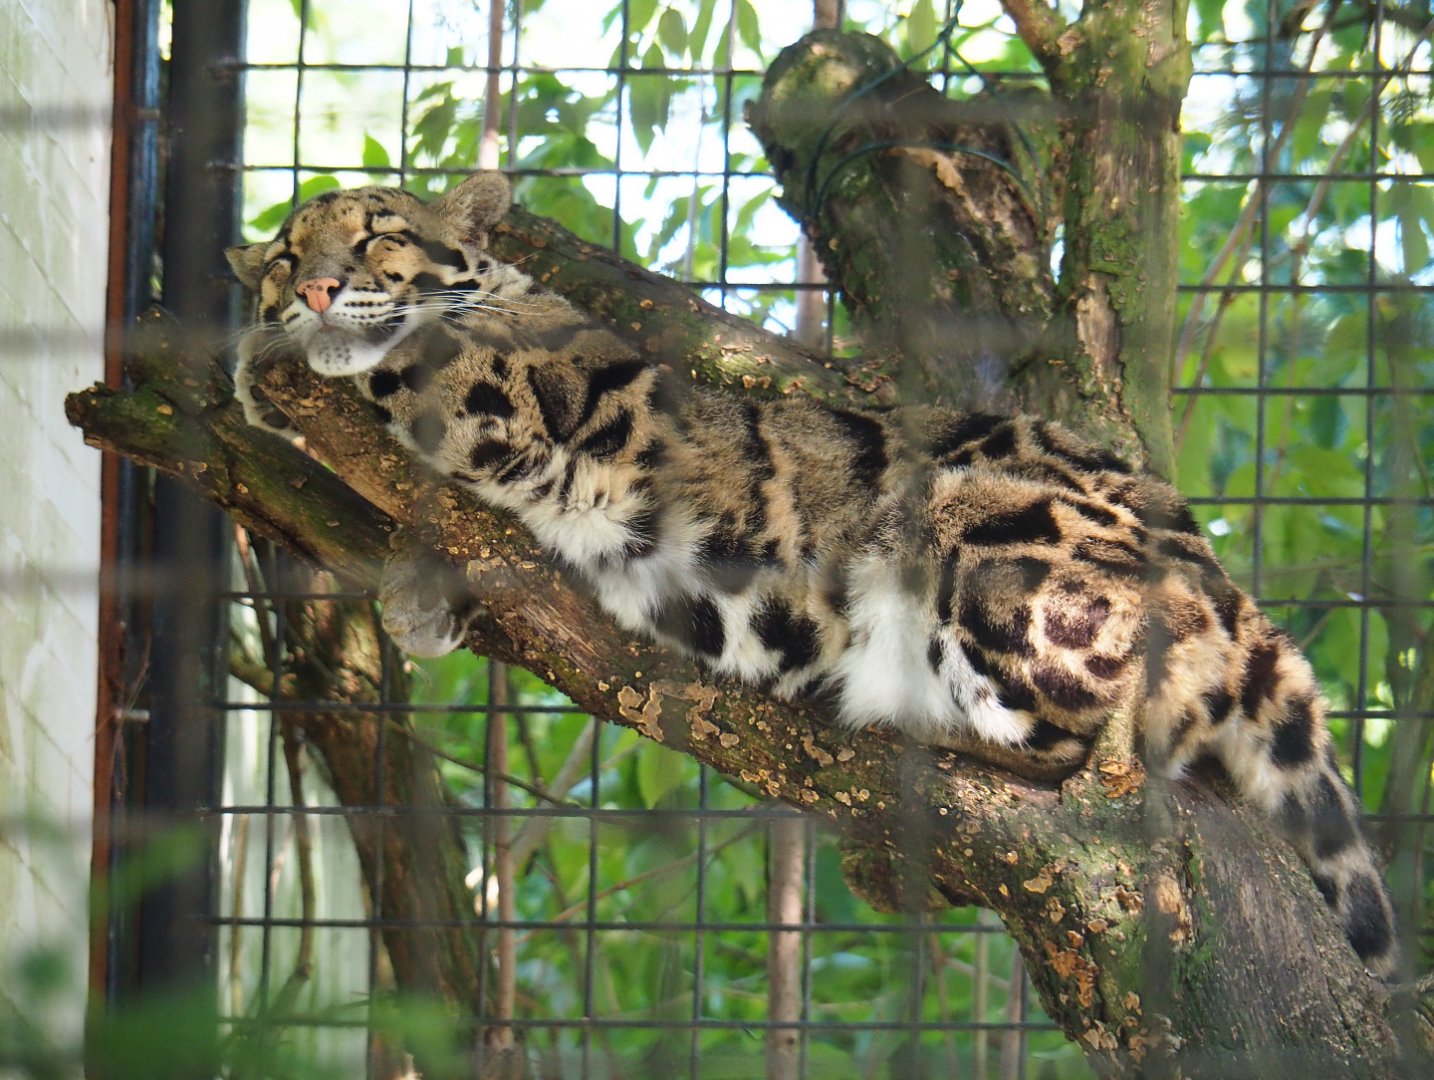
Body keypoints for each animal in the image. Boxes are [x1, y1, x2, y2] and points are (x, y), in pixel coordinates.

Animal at [227, 170, 1398, 978]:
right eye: (283, 255)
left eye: (378, 233)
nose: (313, 287)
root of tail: (1236, 598)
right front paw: (416, 597)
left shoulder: (525, 390)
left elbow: (414, 356)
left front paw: (258, 356)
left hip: (983, 531)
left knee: (1077, 740)